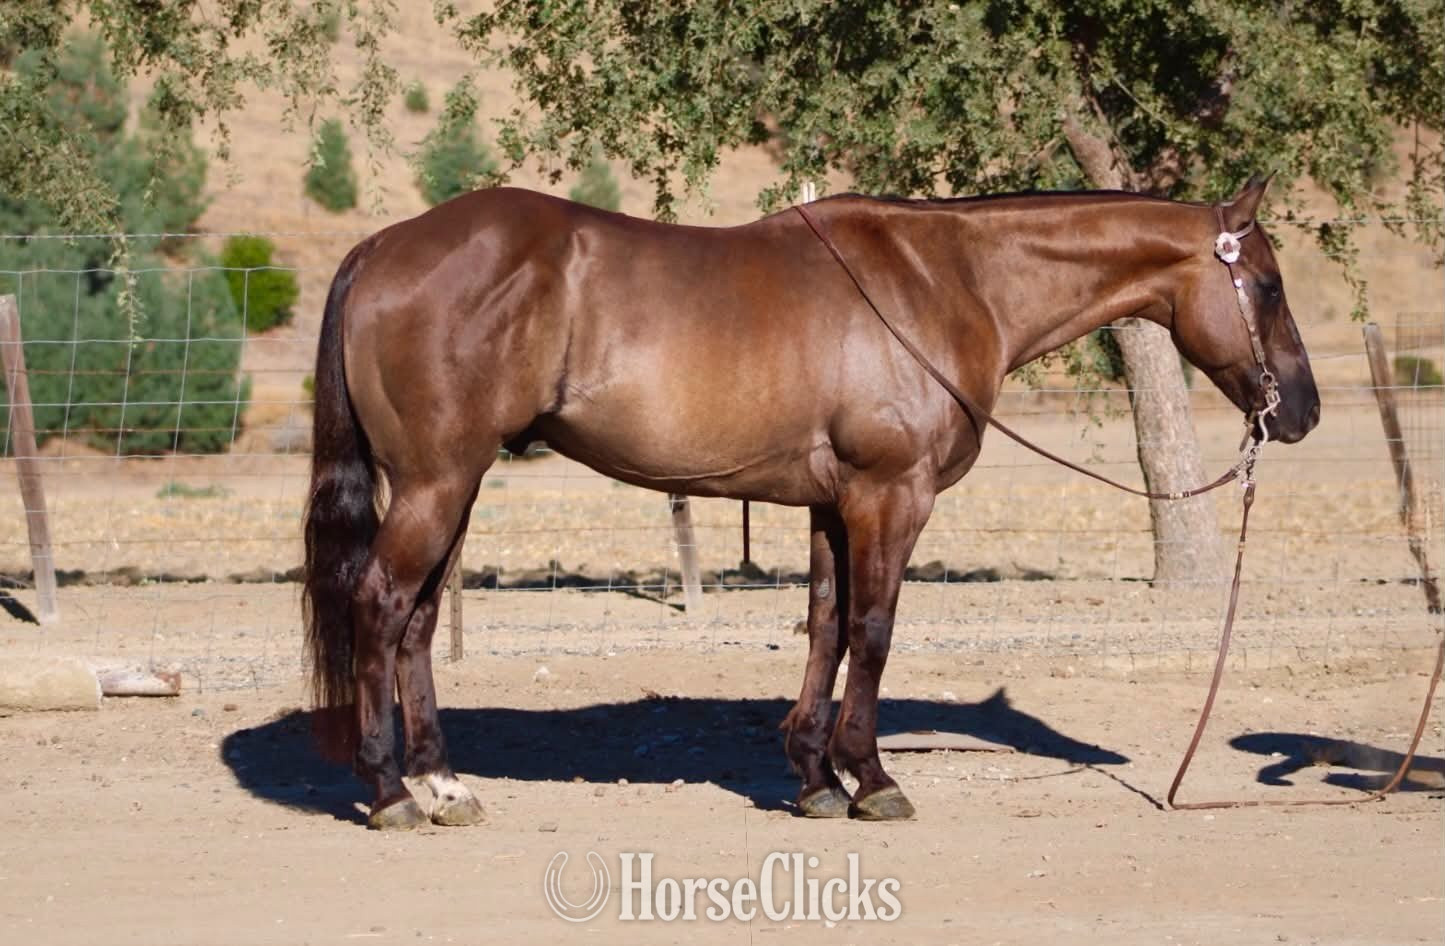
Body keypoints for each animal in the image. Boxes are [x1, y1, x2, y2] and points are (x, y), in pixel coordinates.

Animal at [302, 176, 1319, 829]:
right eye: (1268, 285)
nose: (1299, 411)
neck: (945, 279)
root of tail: (385, 244)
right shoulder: (890, 497)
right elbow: (872, 631)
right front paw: (871, 778)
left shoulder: (833, 507)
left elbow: (826, 628)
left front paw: (813, 777)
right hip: (437, 484)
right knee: (380, 606)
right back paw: (391, 794)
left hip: (455, 485)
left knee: (416, 622)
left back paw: (443, 787)